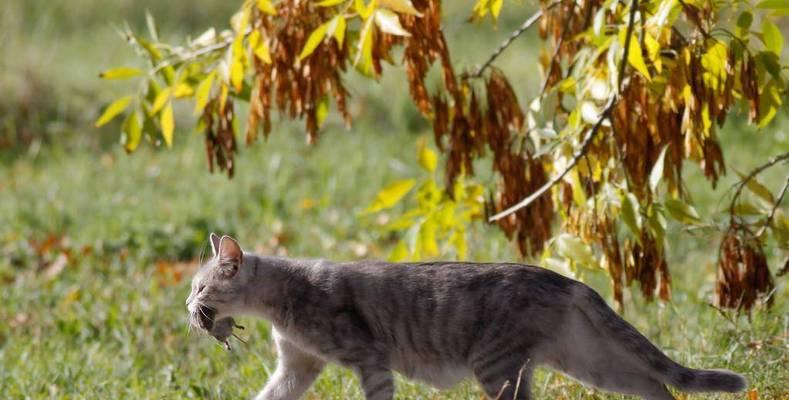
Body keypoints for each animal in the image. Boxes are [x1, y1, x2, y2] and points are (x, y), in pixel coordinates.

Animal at [185, 234, 744, 400]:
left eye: (200, 287)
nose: (189, 309)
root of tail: (561, 279)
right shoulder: (296, 368)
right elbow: (267, 397)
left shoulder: (369, 360)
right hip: (586, 363)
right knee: (656, 384)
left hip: (496, 369)